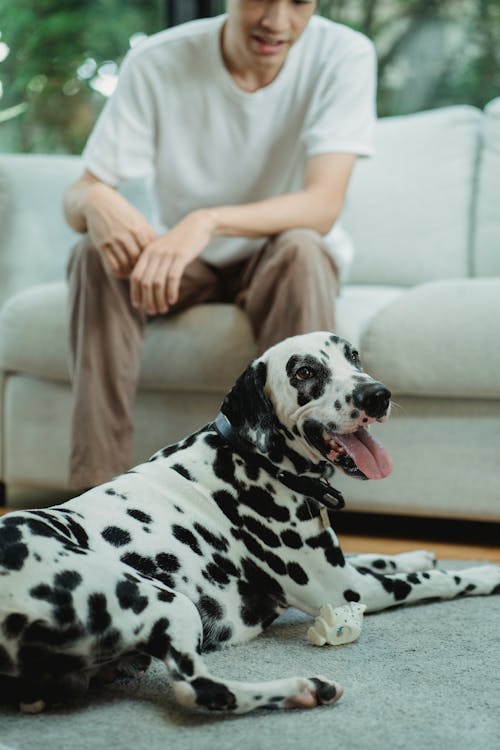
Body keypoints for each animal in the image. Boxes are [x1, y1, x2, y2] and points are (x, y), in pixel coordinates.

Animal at [0, 334, 500, 716]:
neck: (252, 457)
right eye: (304, 372)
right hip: (168, 602)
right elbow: (438, 579)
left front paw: (417, 553)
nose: (377, 394)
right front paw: (484, 573)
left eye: (353, 356)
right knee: (199, 690)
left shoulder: (340, 565)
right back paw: (303, 689)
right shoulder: (345, 591)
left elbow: (380, 556)